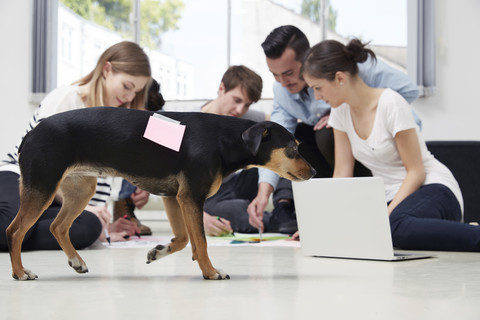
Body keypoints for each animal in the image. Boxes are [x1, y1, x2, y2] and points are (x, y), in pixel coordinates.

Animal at [7, 107, 316, 280]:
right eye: (292, 147)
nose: (313, 171)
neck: (222, 139)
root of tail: (29, 134)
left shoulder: (174, 197)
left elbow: (184, 240)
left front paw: (159, 251)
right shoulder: (191, 197)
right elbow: (201, 241)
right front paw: (210, 272)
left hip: (80, 188)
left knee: (58, 226)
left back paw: (76, 262)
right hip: (43, 187)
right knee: (15, 232)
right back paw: (20, 272)